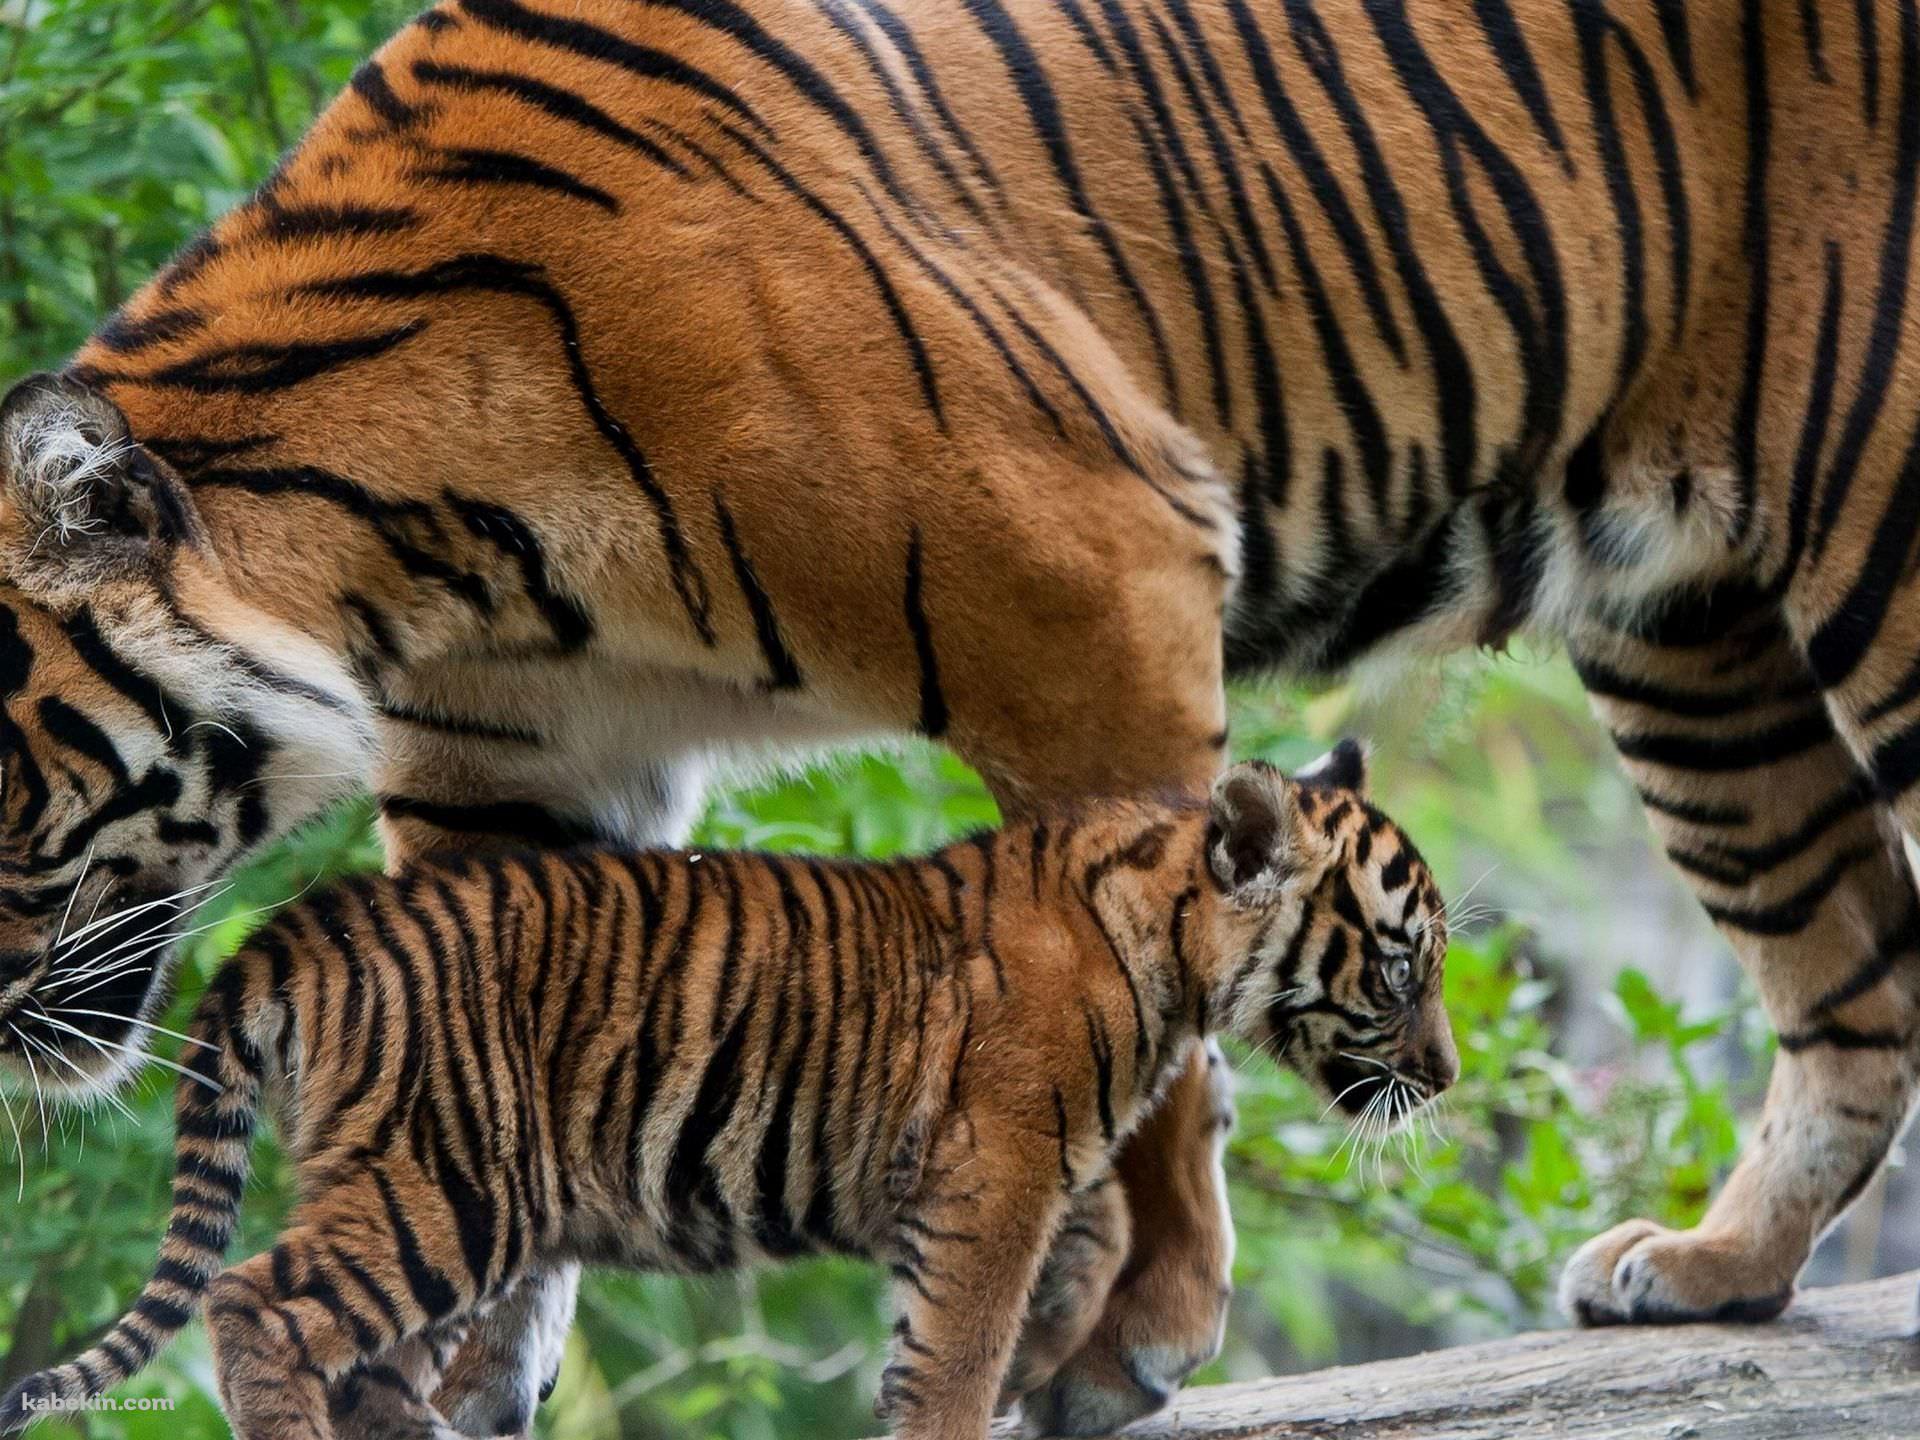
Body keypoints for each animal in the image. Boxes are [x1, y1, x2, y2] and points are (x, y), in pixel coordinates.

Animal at [0, 751, 1452, 1440]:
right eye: (1401, 965)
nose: (1441, 1076)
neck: (1167, 937)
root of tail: (306, 921)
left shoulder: (1016, 1165)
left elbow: (1080, 1255)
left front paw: (1066, 1367)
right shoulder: (994, 1171)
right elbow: (960, 1341)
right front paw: (981, 1396)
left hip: (420, 1192)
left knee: (360, 1363)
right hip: (445, 1184)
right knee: (258, 1306)